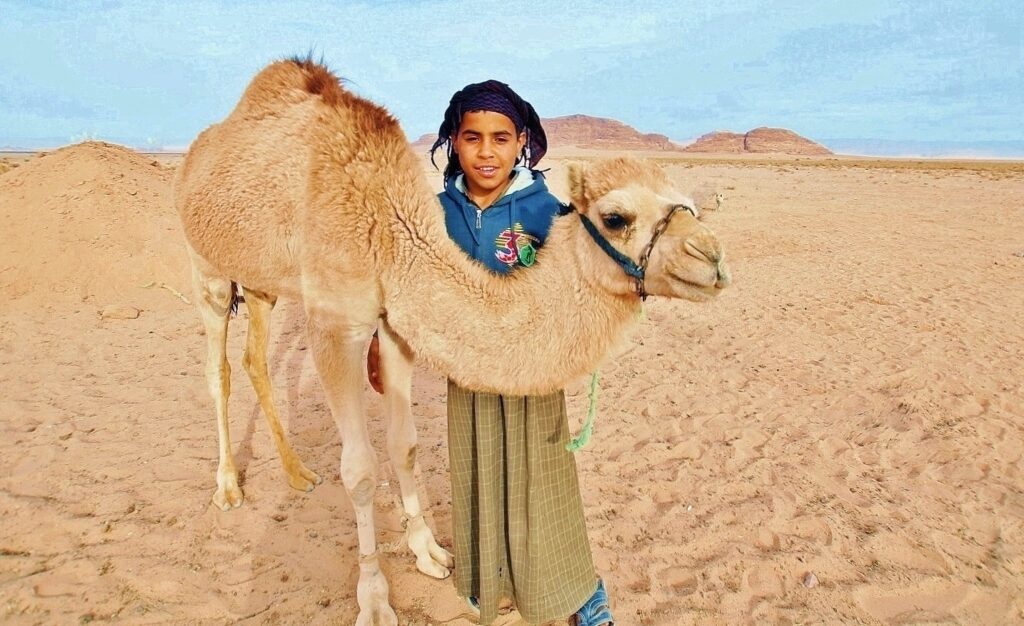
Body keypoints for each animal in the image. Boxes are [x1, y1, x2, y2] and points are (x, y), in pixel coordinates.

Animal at [176, 57, 733, 626]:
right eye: (616, 218)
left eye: (690, 206)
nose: (711, 258)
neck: (388, 229)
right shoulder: (335, 323)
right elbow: (359, 471)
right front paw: (374, 599)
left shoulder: (395, 325)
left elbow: (404, 444)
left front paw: (428, 552)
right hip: (205, 264)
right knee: (218, 369)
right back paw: (228, 486)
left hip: (260, 282)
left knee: (255, 358)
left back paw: (296, 473)